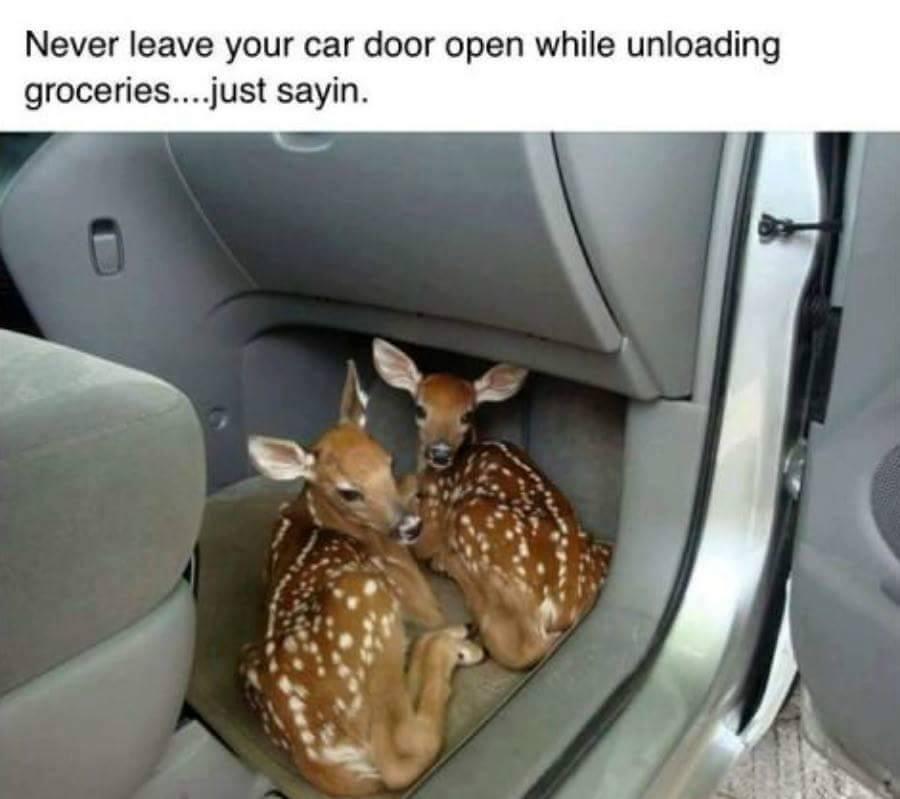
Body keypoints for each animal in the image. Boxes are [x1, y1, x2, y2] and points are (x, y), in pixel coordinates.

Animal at [238, 361, 484, 797]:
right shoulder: (410, 585)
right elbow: (430, 606)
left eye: (387, 460)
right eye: (349, 492)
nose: (410, 526)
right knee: (399, 754)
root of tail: (311, 752)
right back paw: (451, 646)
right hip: (367, 600)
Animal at [372, 338, 613, 670]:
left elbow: (422, 542)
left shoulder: (434, 516)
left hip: (474, 520)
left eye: (466, 415)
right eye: (420, 409)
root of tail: (563, 607)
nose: (440, 452)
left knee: (518, 645)